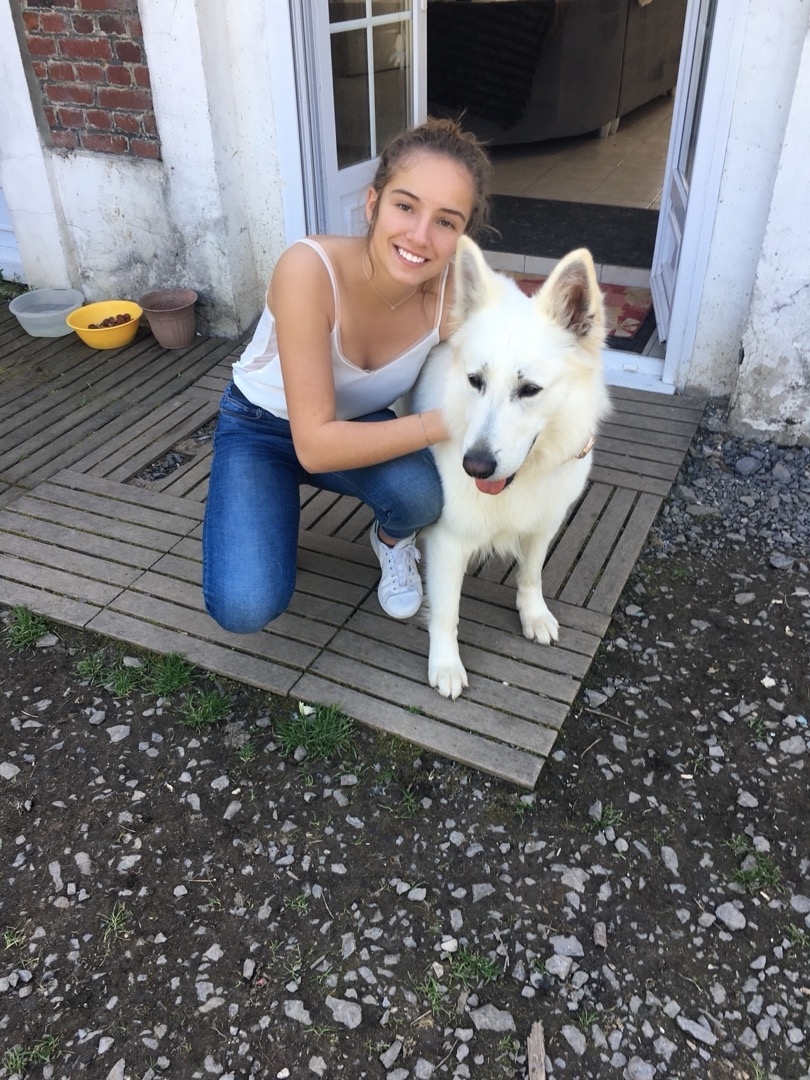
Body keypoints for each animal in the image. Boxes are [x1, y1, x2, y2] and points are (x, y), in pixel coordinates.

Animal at [413, 235, 611, 699]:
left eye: (530, 389)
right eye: (475, 381)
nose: (475, 466)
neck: (519, 481)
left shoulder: (544, 523)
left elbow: (531, 573)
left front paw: (533, 614)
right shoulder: (449, 541)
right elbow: (446, 612)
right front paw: (446, 664)